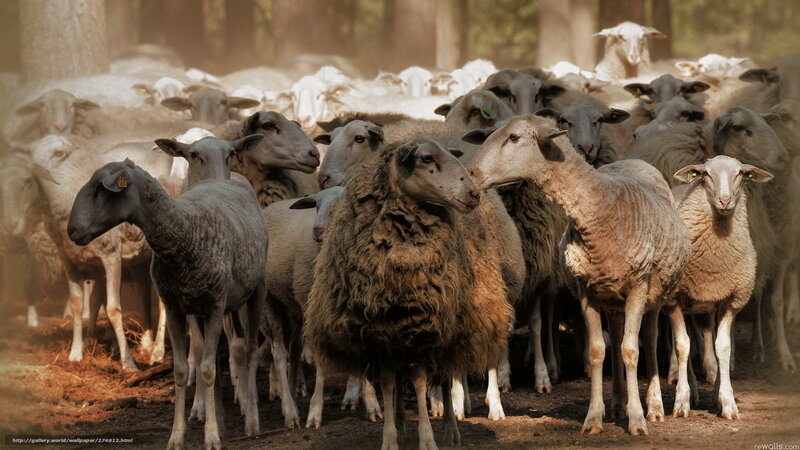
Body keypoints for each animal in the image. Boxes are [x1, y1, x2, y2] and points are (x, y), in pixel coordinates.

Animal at [67, 158, 268, 449]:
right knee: (233, 350)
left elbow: (207, 369)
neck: (185, 233)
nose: (71, 229)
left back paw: (252, 420)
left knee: (251, 351)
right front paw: (177, 436)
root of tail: (226, 180)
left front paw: (211, 437)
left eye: (100, 189)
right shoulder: (175, 308)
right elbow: (182, 371)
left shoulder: (214, 306)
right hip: (218, 304)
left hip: (256, 291)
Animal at [305, 135, 514, 449]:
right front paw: (390, 437)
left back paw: (451, 429)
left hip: (450, 332)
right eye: (426, 158)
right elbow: (389, 383)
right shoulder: (381, 333)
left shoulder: (424, 330)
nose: (473, 194)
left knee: (443, 377)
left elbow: (419, 382)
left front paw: (427, 438)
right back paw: (403, 426)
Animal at [465, 114, 690, 435]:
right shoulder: (587, 290)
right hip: (613, 297)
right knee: (617, 336)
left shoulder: (637, 286)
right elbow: (597, 351)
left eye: (514, 137)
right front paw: (594, 418)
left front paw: (637, 419)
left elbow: (631, 351)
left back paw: (655, 406)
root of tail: (633, 159)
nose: (471, 173)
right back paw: (618, 402)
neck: (601, 209)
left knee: (647, 338)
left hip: (656, 292)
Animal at [667, 155, 772, 420]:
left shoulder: (730, 300)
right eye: (706, 174)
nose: (725, 201)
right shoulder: (674, 301)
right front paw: (681, 402)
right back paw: (692, 391)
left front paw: (726, 402)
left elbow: (722, 348)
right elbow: (683, 347)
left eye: (741, 174)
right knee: (683, 345)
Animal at [711, 107, 800, 371]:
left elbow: (776, 301)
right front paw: (729, 360)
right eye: (742, 129)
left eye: (767, 123)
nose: (783, 158)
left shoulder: (779, 254)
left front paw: (784, 355)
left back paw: (759, 347)